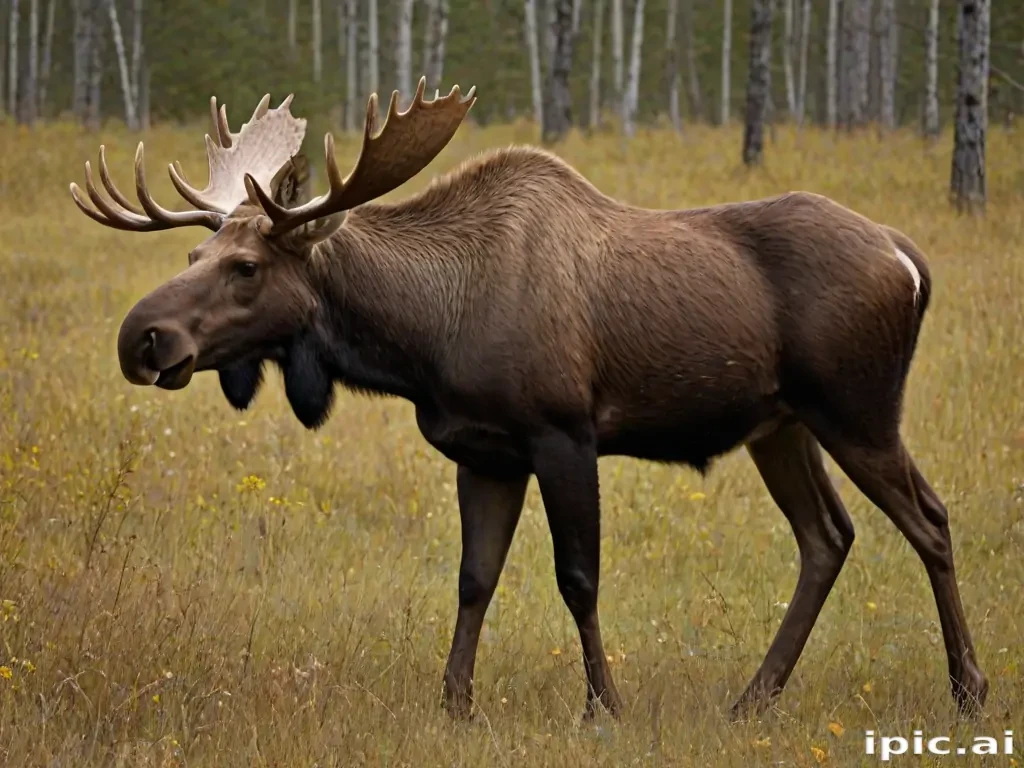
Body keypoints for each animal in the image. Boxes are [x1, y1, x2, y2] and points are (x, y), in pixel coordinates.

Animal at [69, 77, 988, 722]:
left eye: (248, 267)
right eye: (195, 251)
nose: (141, 337)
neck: (424, 338)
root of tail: (908, 258)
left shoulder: (563, 432)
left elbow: (577, 578)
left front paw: (604, 708)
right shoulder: (486, 452)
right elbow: (474, 579)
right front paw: (454, 705)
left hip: (857, 409)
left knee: (930, 518)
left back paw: (968, 688)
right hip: (781, 425)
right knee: (827, 537)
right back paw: (752, 699)